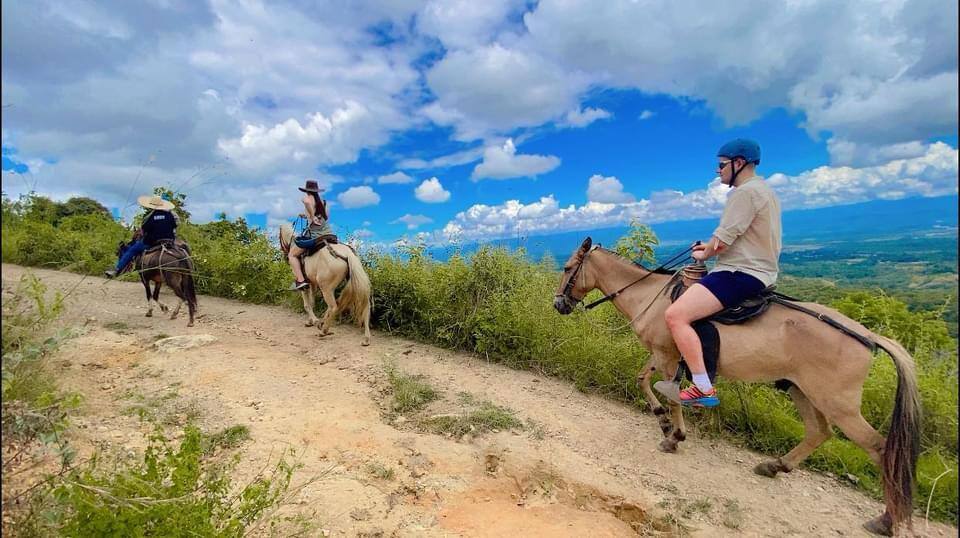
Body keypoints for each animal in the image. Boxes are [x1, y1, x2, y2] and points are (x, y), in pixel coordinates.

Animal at [556, 239, 924, 536]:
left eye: (568, 267)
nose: (559, 304)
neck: (651, 296)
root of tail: (868, 336)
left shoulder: (667, 356)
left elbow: (671, 396)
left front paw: (674, 436)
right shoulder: (662, 355)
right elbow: (643, 380)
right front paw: (661, 421)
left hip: (837, 402)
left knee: (878, 449)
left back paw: (885, 520)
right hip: (801, 389)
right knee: (819, 432)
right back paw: (775, 466)